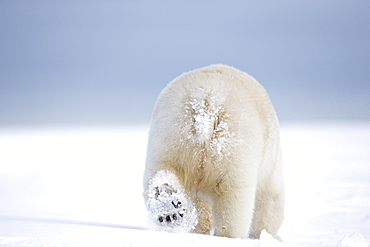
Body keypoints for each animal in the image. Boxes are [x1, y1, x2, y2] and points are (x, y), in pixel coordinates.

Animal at [143, 64, 284, 239]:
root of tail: (205, 103)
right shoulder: (269, 168)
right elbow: (269, 200)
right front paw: (266, 233)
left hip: (170, 135)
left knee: (161, 169)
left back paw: (168, 207)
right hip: (234, 146)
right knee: (233, 196)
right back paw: (229, 235)